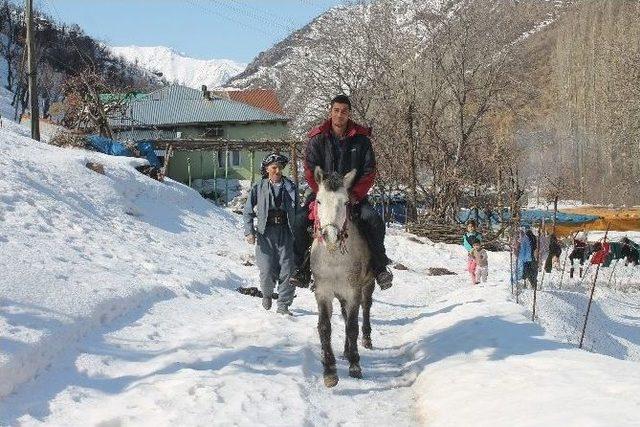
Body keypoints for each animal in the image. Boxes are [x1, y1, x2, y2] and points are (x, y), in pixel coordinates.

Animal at [310, 167, 376, 388]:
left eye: (346, 203)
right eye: (318, 201)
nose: (331, 236)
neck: (334, 258)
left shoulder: (353, 292)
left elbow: (352, 326)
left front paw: (355, 366)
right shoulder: (323, 292)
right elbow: (324, 327)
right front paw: (329, 371)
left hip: (367, 285)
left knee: (365, 308)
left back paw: (366, 340)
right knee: (345, 314)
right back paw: (346, 352)